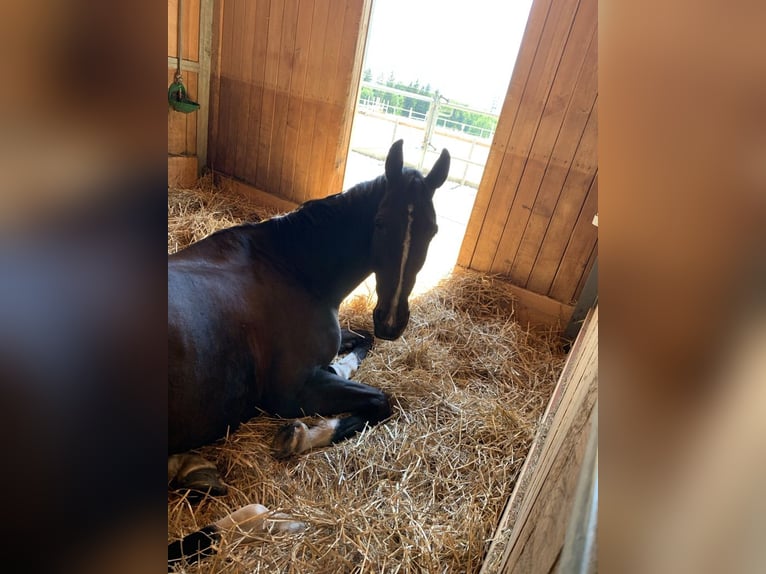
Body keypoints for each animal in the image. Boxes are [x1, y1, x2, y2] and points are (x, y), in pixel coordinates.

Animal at [167, 140, 450, 498]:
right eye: (380, 222)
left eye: (433, 229)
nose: (390, 321)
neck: (289, 266)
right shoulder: (292, 394)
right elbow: (381, 400)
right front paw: (300, 437)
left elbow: (364, 340)